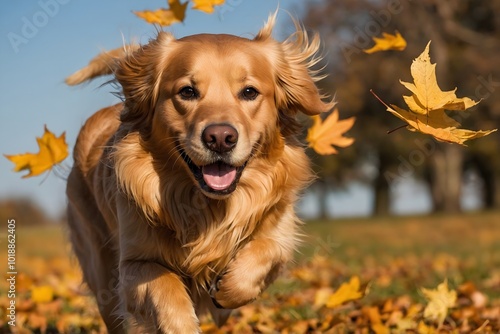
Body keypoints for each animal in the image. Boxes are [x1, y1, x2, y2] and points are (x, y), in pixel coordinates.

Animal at [65, 11, 332, 332]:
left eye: (249, 92)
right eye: (188, 92)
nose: (220, 138)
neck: (210, 208)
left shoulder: (281, 233)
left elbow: (266, 251)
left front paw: (227, 290)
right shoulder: (133, 264)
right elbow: (166, 287)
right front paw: (182, 323)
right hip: (100, 269)